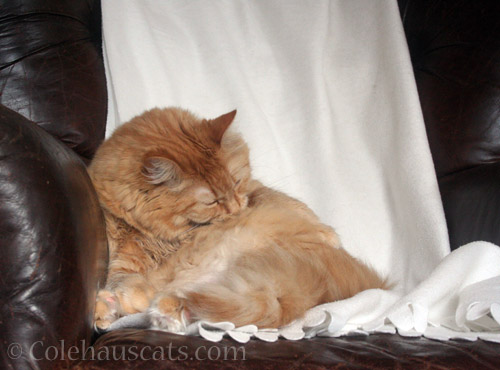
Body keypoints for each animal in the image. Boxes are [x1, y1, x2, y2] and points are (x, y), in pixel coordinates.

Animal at [90, 107, 386, 332]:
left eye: (235, 182)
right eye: (211, 201)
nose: (233, 211)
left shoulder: (252, 192)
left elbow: (277, 197)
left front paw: (326, 232)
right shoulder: (128, 262)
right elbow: (125, 277)